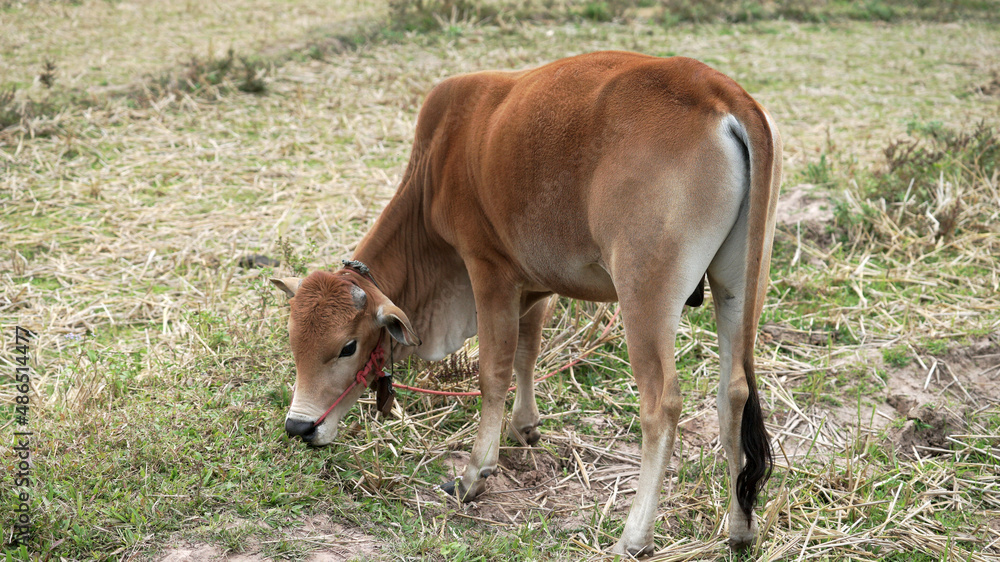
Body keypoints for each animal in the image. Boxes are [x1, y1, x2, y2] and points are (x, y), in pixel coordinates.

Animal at [272, 50, 780, 552]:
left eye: (347, 347)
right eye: (294, 343)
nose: (299, 427)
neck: (438, 161)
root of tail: (716, 90)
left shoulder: (487, 270)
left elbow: (493, 372)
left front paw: (475, 473)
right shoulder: (535, 286)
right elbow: (526, 354)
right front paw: (526, 427)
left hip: (644, 292)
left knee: (662, 404)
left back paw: (633, 537)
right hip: (739, 286)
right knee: (733, 393)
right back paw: (740, 529)